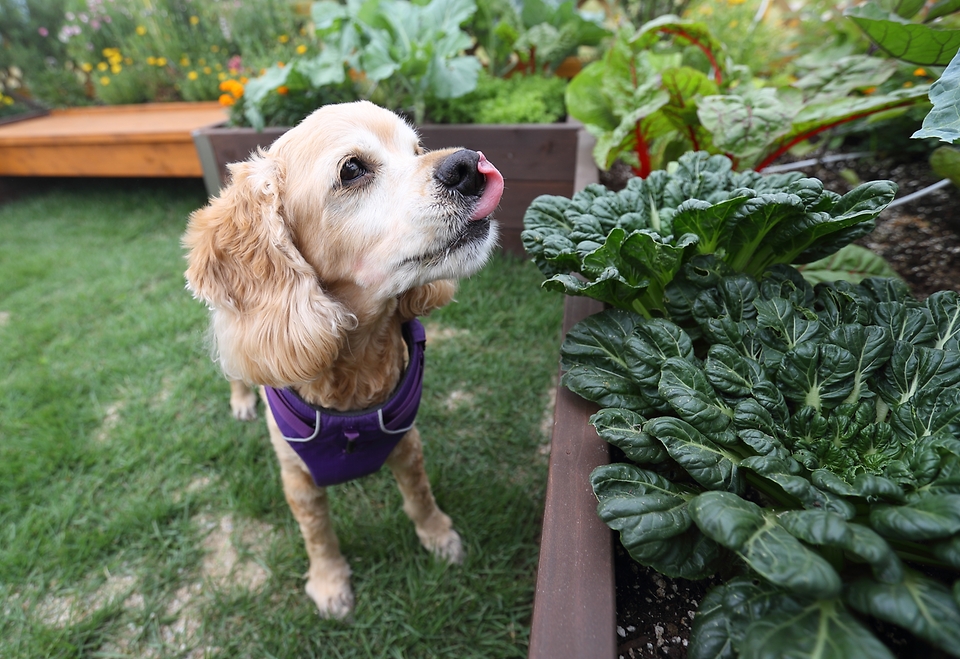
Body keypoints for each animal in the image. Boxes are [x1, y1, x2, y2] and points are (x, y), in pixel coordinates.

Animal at [183, 100, 506, 616]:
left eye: (416, 149)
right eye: (351, 169)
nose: (468, 165)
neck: (353, 374)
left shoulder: (407, 443)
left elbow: (419, 493)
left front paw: (438, 535)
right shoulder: (298, 480)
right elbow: (318, 533)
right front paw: (330, 581)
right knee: (233, 371)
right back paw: (240, 400)